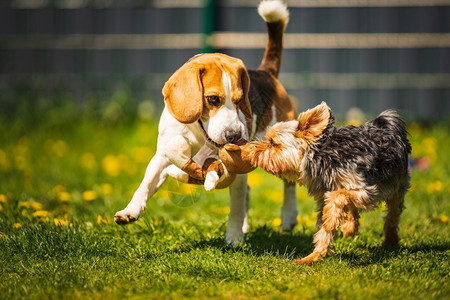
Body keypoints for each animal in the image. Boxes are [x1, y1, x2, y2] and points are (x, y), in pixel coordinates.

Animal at [114, 0, 298, 245]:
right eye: (213, 99)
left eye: (239, 101)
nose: (234, 136)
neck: (197, 132)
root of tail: (265, 72)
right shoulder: (164, 152)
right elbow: (146, 182)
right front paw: (129, 211)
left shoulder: (236, 166)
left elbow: (236, 206)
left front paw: (234, 237)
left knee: (289, 183)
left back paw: (288, 216)